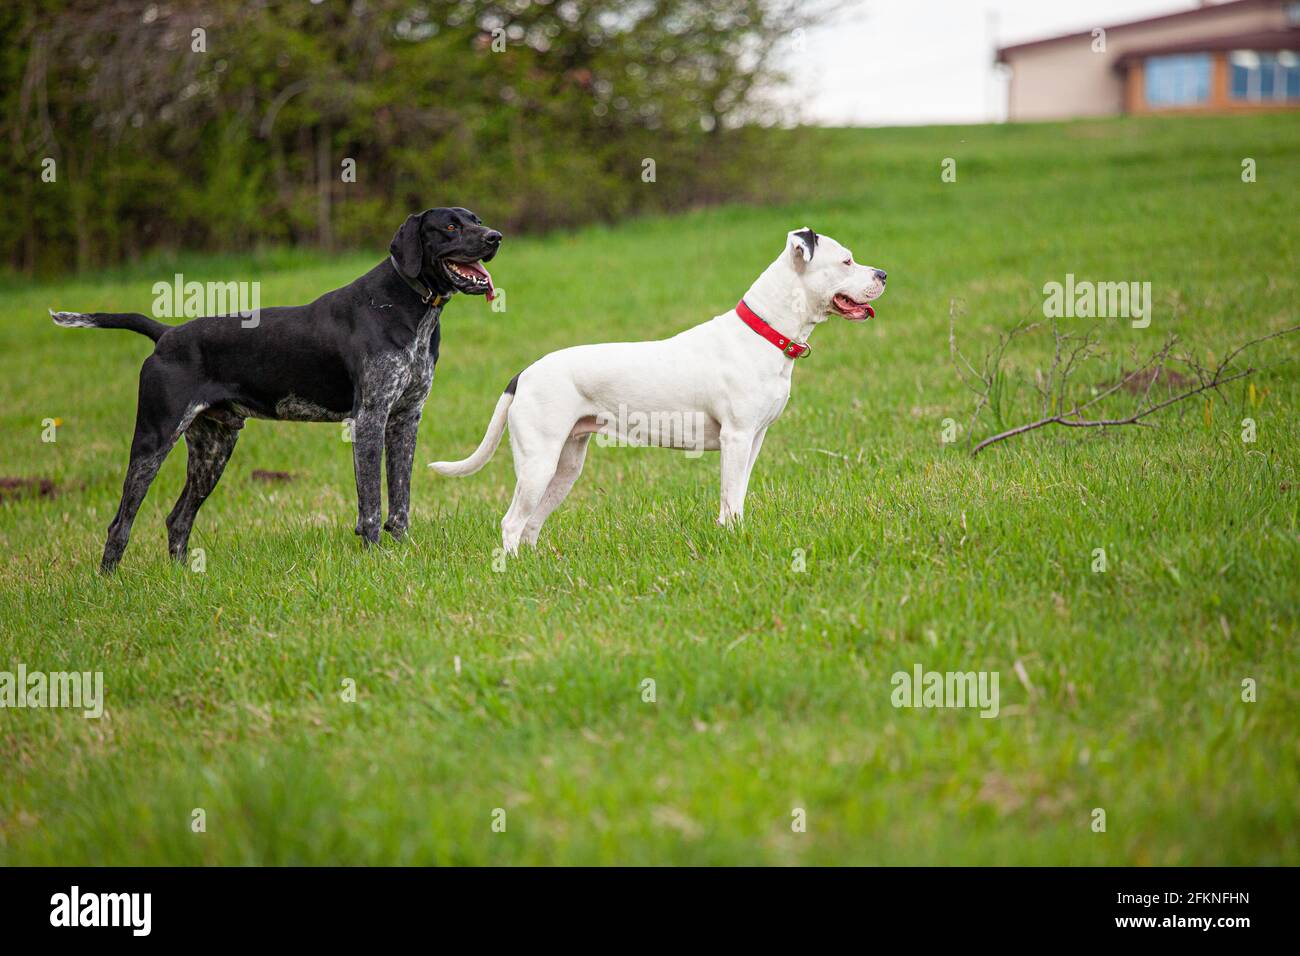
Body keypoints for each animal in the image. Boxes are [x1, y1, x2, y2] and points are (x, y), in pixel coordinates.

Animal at [48, 206, 501, 572]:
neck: (407, 305)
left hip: (213, 449)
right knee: (120, 524)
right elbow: (371, 507)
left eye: (476, 219)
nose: (495, 237)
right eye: (449, 226)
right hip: (153, 442)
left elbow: (401, 502)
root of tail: (166, 334)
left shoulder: (406, 420)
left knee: (178, 519)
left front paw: (404, 552)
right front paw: (375, 559)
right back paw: (108, 581)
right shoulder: (370, 419)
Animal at [431, 230, 889, 554]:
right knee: (512, 522)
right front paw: (730, 539)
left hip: (564, 466)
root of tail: (523, 374)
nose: (883, 274)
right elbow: (729, 498)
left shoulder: (754, 439)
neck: (763, 333)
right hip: (537, 463)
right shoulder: (736, 437)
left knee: (530, 524)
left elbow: (739, 494)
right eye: (846, 260)